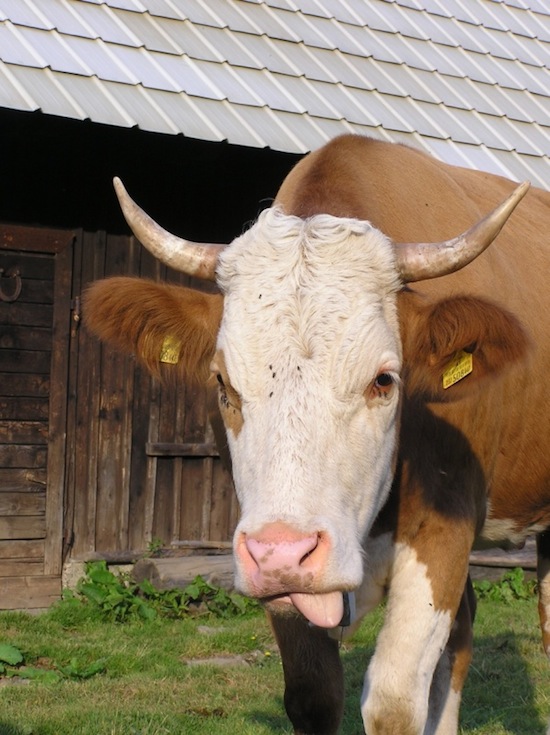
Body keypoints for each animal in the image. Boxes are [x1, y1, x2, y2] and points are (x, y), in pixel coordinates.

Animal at [84, 134, 550, 735]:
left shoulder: (444, 526)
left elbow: (394, 701)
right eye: (222, 383)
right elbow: (313, 694)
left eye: (384, 380)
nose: (284, 552)